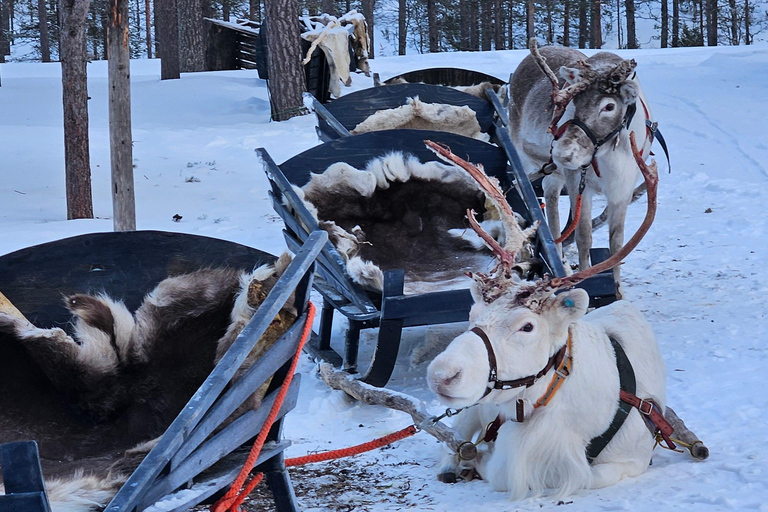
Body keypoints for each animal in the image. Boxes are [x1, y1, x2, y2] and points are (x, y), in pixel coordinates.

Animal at [423, 138, 672, 500]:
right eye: (472, 315)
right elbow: (488, 461)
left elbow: (586, 476)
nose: (442, 375)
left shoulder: (633, 458)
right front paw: (473, 461)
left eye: (527, 326)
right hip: (470, 407)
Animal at [508, 41, 657, 299]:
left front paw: (619, 291)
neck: (609, 154)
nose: (562, 152)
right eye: (574, 102)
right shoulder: (579, 182)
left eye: (609, 106)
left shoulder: (623, 188)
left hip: (554, 172)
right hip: (526, 158)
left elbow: (617, 243)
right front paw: (585, 281)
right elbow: (583, 237)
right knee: (539, 199)